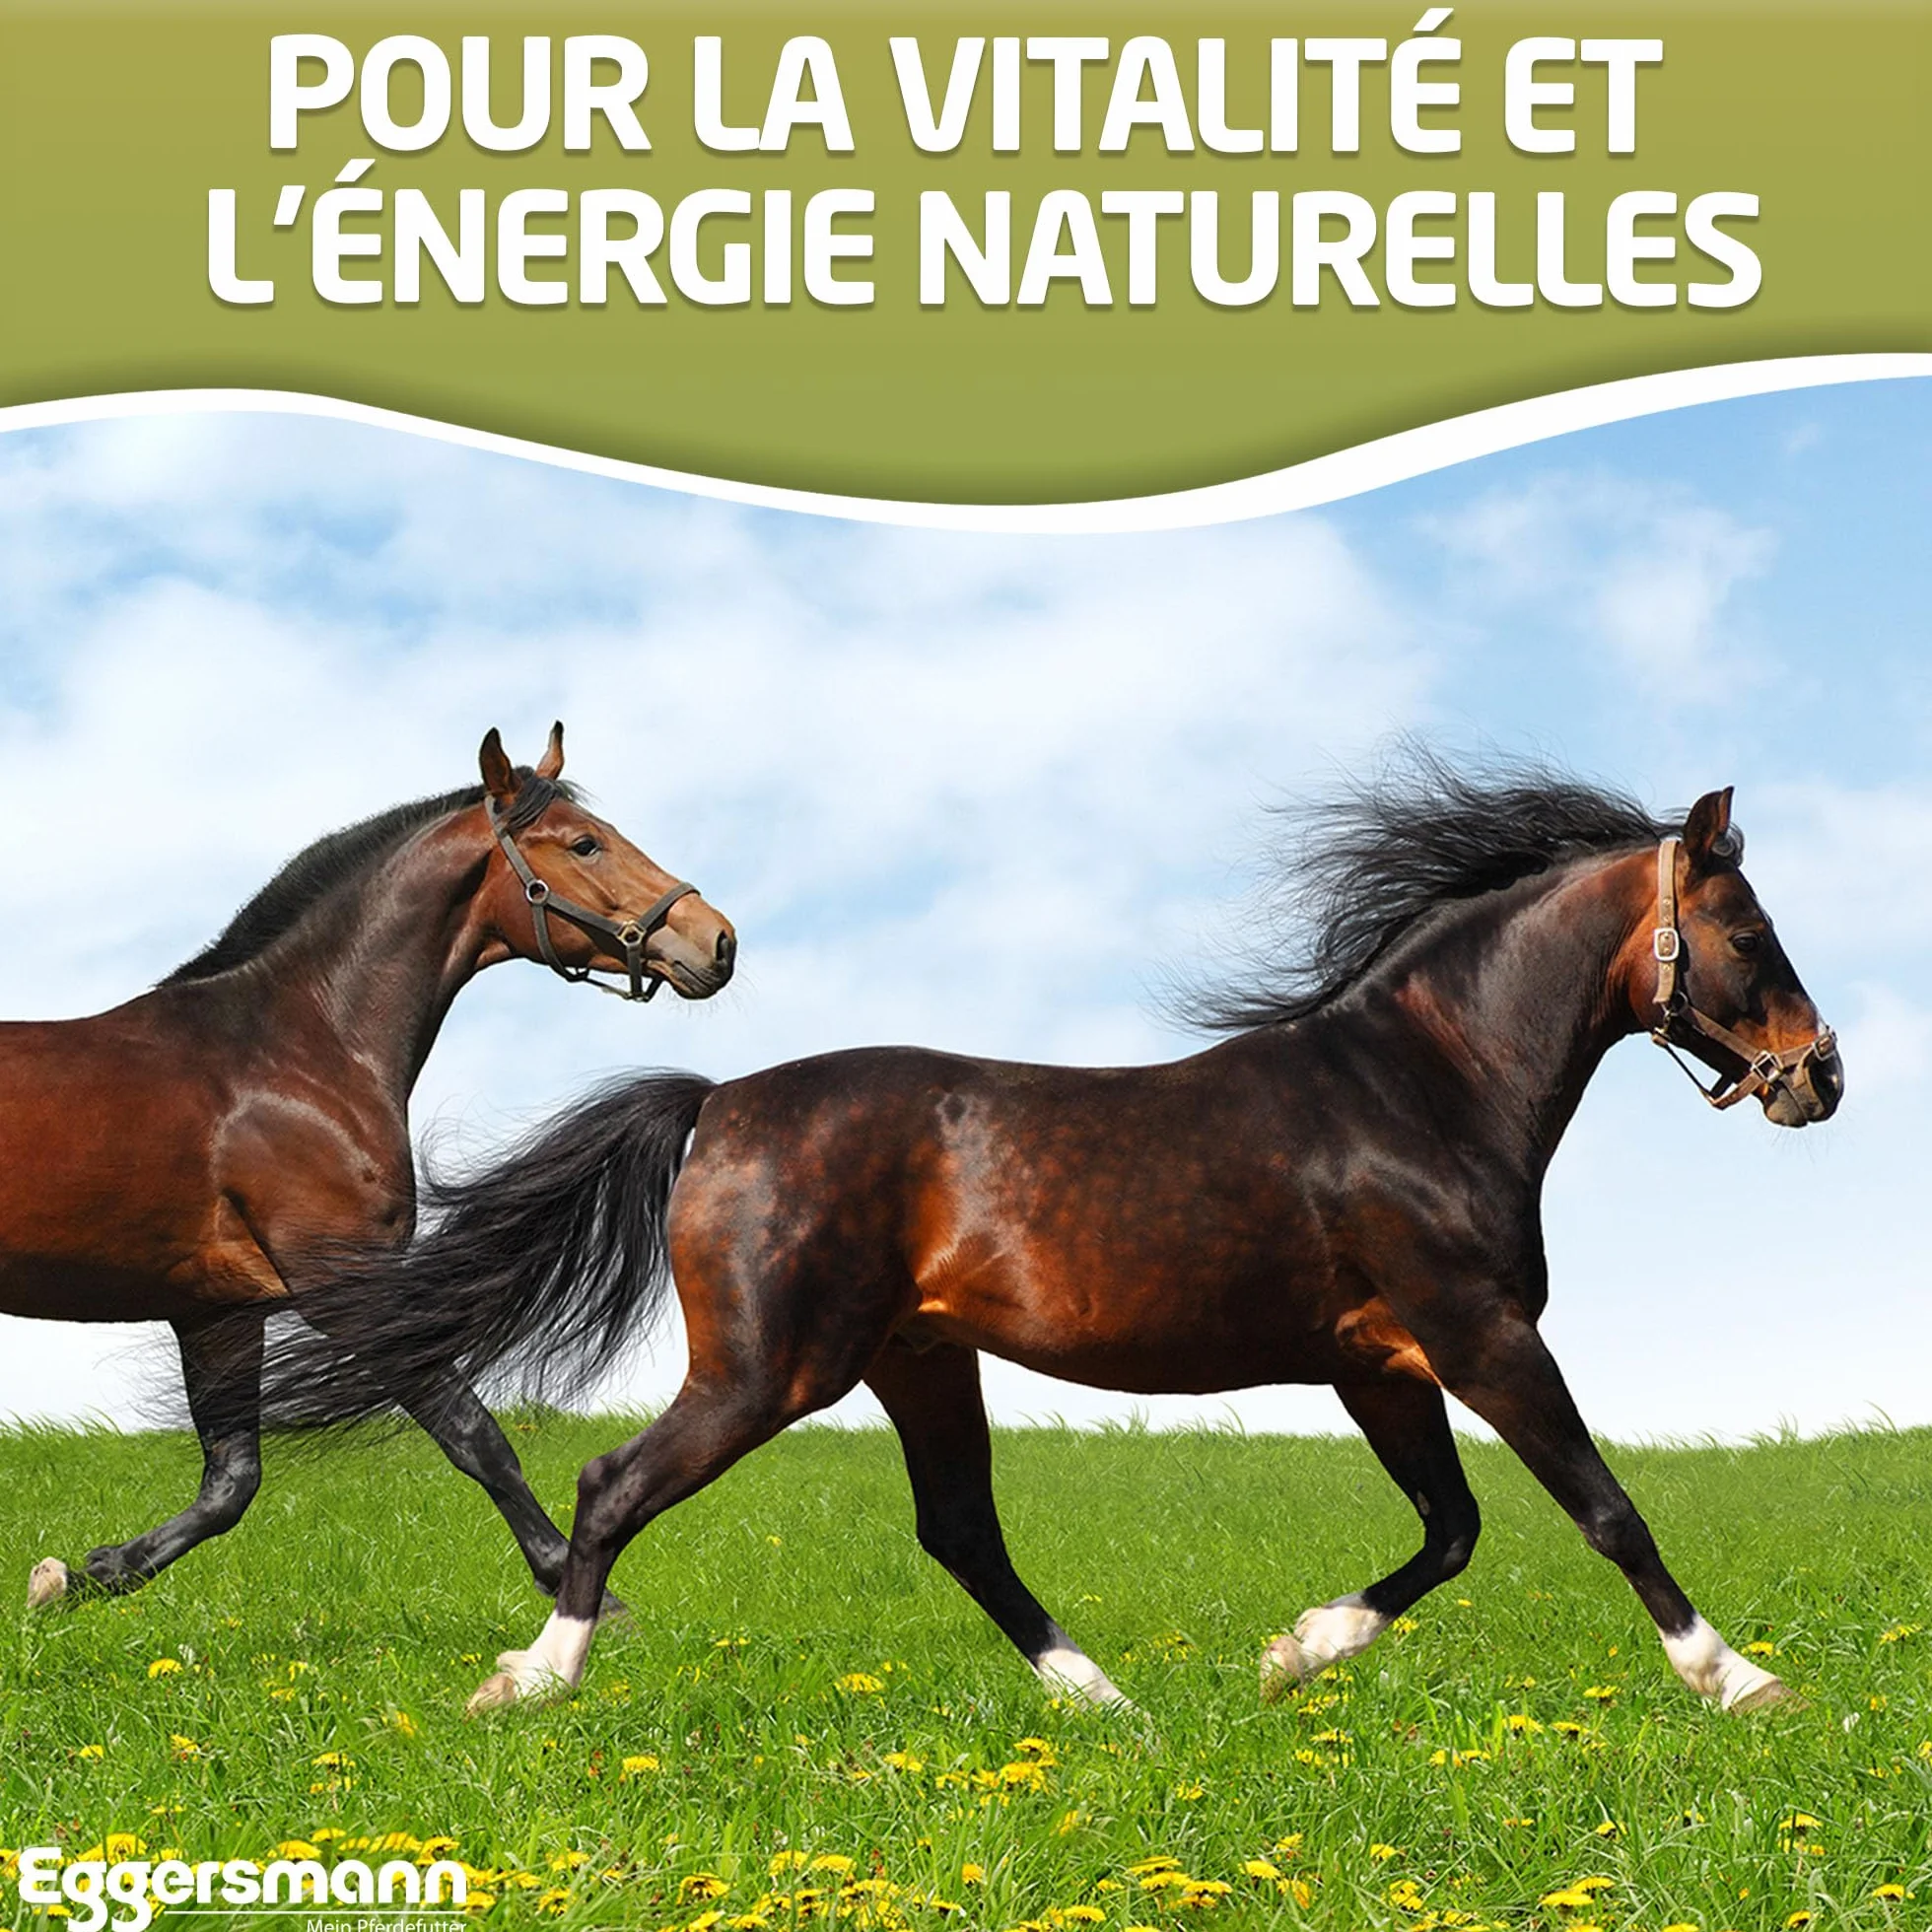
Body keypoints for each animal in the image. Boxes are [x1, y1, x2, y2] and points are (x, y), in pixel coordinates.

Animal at [3, 722, 736, 1611]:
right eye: (585, 844)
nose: (717, 940)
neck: (295, 1053)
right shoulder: (348, 1296)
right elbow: (478, 1438)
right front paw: (581, 1590)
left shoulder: (219, 1312)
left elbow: (229, 1483)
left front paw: (85, 1574)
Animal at [257, 763, 1840, 1718]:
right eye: (1747, 932)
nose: (1820, 1077)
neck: (1419, 1086)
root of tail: (716, 1103)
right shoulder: (1478, 1333)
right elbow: (1601, 1507)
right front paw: (1739, 1680)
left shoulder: (1379, 1361)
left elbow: (1449, 1531)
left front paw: (1291, 1653)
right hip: (771, 1370)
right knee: (610, 1484)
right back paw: (532, 1678)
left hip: (914, 1363)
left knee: (960, 1530)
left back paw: (1110, 1703)